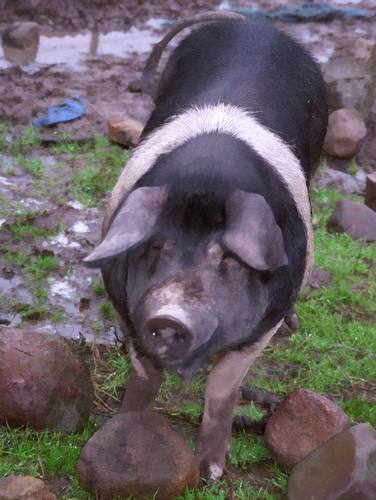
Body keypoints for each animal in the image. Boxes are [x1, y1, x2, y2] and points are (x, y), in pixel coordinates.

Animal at [83, 12, 328, 480]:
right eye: (154, 247)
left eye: (228, 258)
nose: (169, 316)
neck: (207, 183)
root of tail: (251, 23)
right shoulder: (125, 309)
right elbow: (145, 379)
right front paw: (123, 430)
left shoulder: (259, 331)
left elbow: (221, 389)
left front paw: (212, 471)